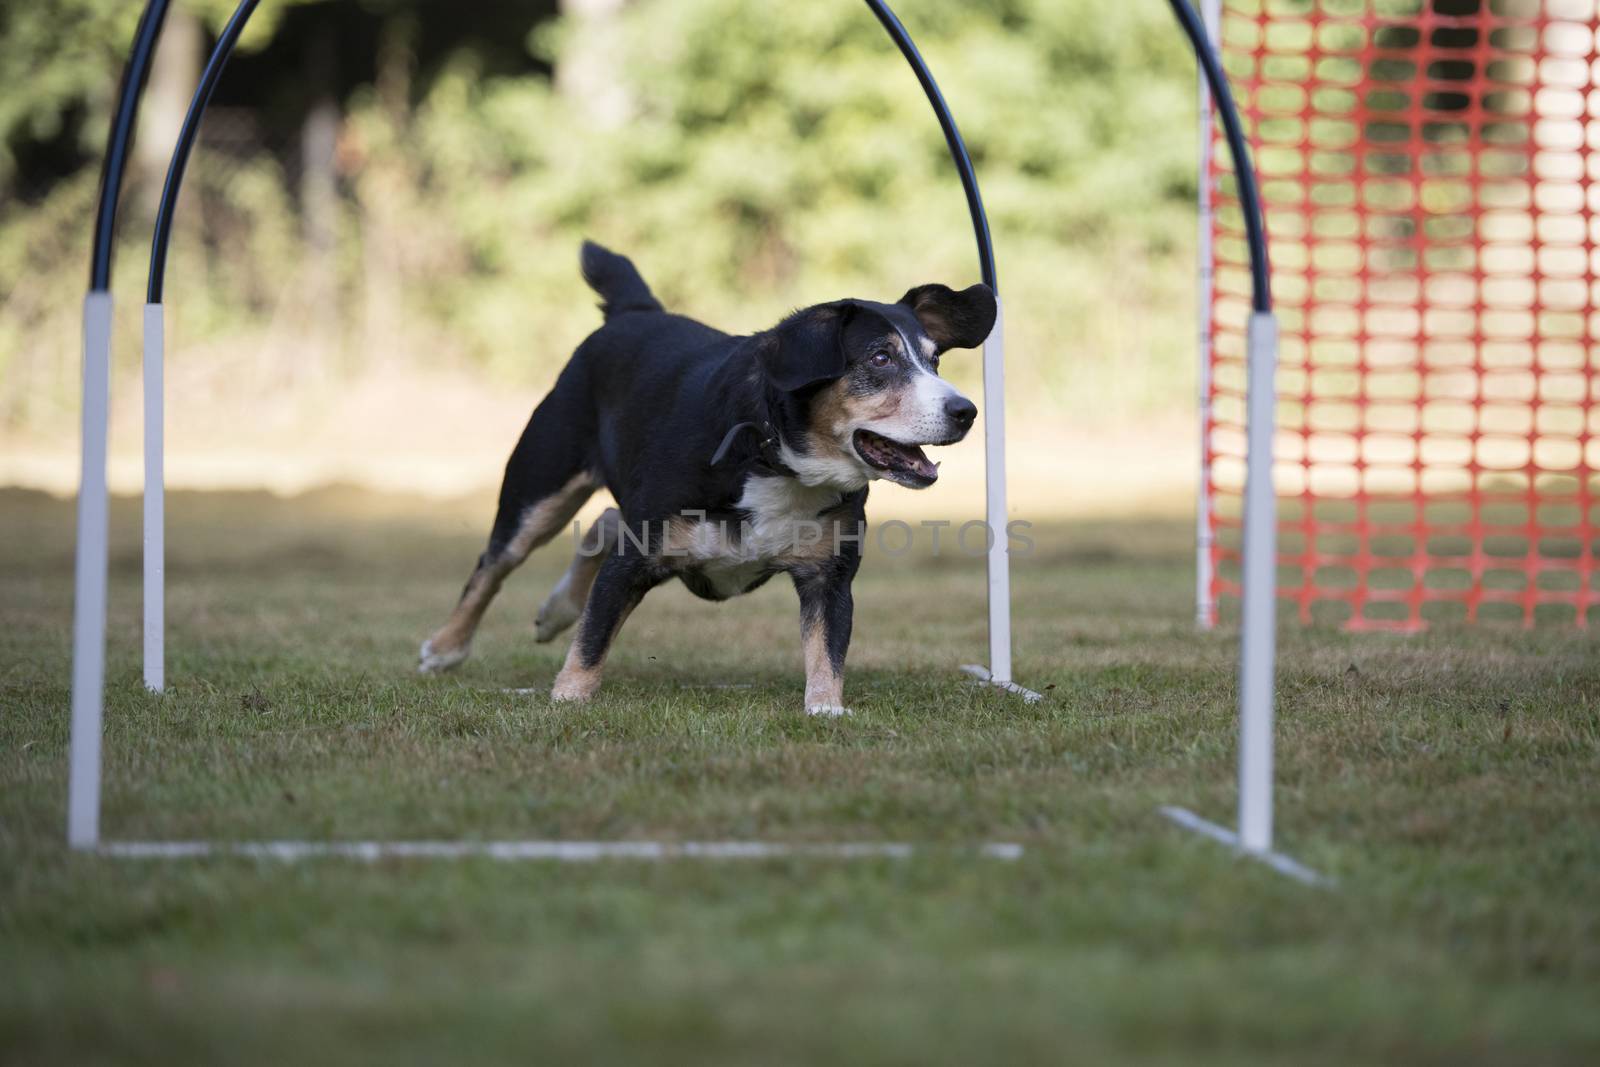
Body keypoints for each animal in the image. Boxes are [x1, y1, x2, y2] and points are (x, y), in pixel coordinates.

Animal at [419, 241, 992, 716]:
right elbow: (592, 638)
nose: (965, 411)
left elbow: (826, 651)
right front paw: (568, 698)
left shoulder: (829, 574)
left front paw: (827, 710)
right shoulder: (635, 555)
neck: (771, 454)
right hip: (539, 488)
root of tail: (636, 313)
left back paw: (557, 609)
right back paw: (446, 647)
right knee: (493, 565)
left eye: (935, 361)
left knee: (602, 520)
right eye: (880, 357)